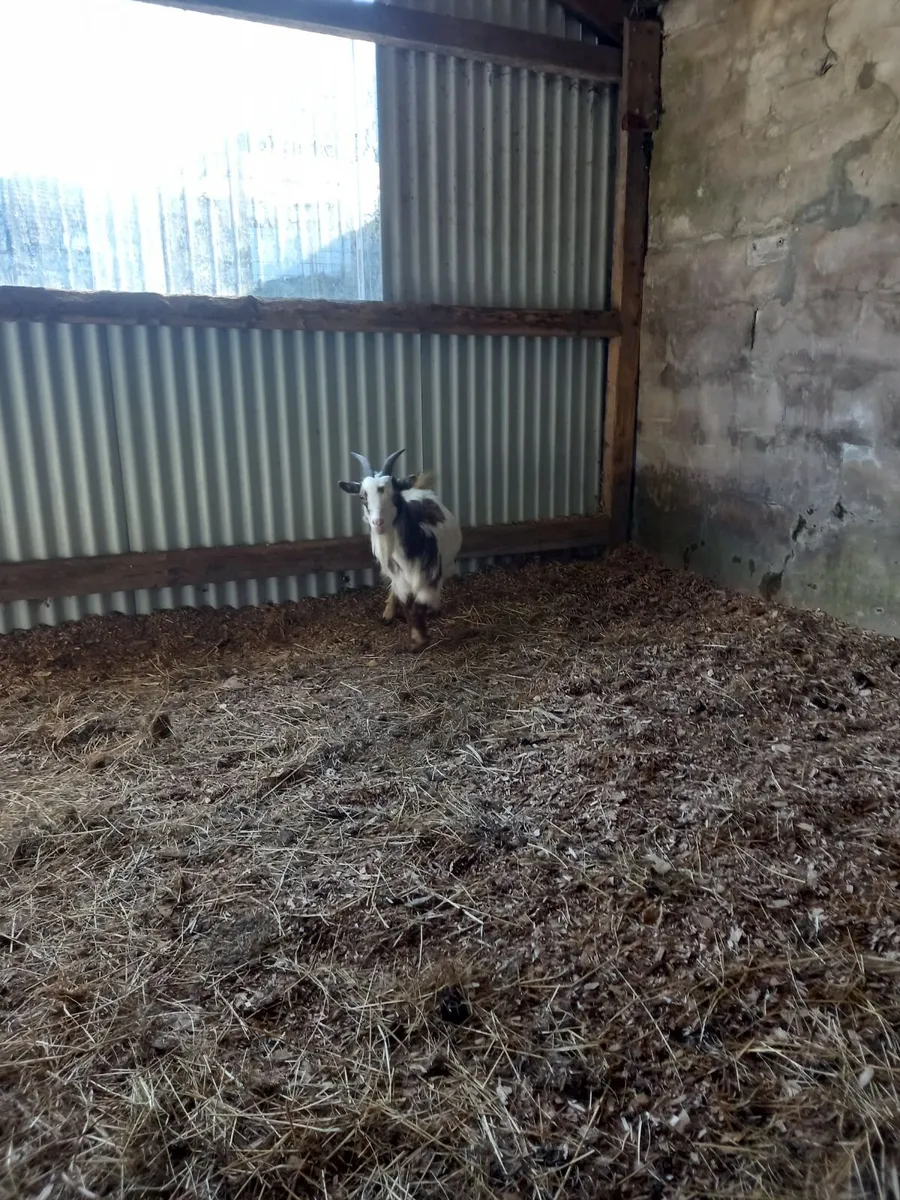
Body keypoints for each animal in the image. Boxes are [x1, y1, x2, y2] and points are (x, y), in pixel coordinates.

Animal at [338, 449, 462, 649]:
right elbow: (407, 603)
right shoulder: (399, 577)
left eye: (394, 495)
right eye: (362, 496)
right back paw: (388, 613)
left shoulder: (430, 576)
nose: (378, 523)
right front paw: (415, 639)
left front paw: (420, 639)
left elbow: (419, 604)